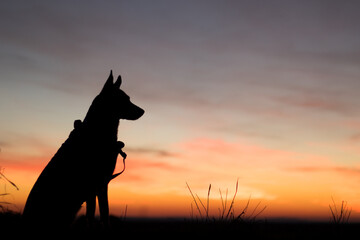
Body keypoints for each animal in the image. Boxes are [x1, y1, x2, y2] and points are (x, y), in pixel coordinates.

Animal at [21, 71, 143, 229]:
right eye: (124, 99)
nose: (143, 111)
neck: (95, 132)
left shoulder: (98, 185)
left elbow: (96, 213)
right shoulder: (99, 183)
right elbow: (102, 213)